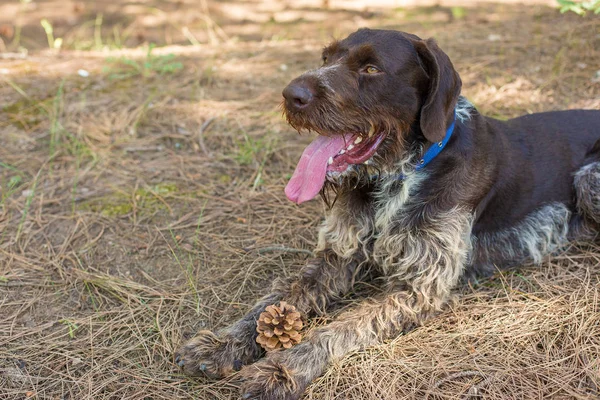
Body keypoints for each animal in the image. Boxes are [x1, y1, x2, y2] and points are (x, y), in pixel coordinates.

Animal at [175, 28, 600, 400]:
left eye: (371, 69)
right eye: (326, 58)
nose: (291, 94)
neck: (401, 173)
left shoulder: (419, 286)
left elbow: (342, 326)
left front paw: (283, 369)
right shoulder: (335, 256)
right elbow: (276, 299)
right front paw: (223, 343)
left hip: (588, 178)